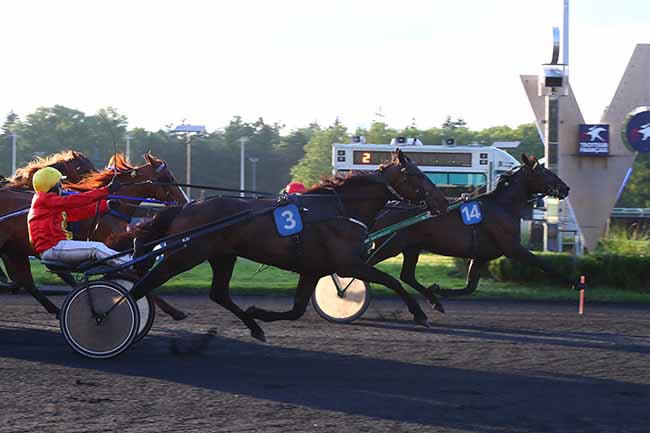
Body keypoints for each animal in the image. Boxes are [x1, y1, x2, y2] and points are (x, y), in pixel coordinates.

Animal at [0, 152, 189, 318]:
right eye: (169, 178)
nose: (185, 201)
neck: (112, 210)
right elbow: (135, 276)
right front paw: (174, 311)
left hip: (14, 250)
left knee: (26, 282)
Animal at [124, 148, 448, 340]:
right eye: (417, 175)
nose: (443, 202)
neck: (340, 208)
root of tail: (185, 207)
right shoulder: (348, 263)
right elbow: (392, 281)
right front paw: (420, 314)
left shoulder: (312, 270)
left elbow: (296, 310)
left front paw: (259, 313)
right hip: (185, 253)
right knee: (146, 283)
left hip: (222, 256)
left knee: (219, 294)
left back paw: (254, 326)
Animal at [364, 153, 572, 310]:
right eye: (545, 171)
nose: (566, 187)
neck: (503, 206)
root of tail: (384, 207)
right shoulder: (512, 247)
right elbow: (544, 264)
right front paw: (574, 283)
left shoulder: (480, 256)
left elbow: (469, 287)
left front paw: (439, 290)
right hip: (389, 246)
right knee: (366, 266)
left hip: (411, 247)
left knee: (406, 275)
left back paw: (434, 300)